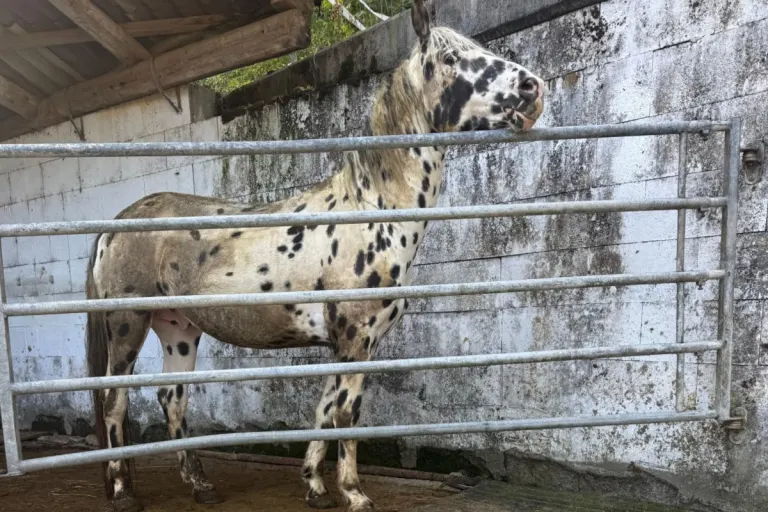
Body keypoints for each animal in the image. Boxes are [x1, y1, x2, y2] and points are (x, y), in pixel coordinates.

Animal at [85, 2, 545, 511]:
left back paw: (200, 484)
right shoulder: (355, 340)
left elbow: (324, 412)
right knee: (115, 403)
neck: (371, 210)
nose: (532, 89)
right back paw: (123, 491)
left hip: (178, 328)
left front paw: (316, 486)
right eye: (449, 59)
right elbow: (346, 416)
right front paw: (355, 493)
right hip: (128, 324)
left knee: (172, 397)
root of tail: (116, 223)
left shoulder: (347, 344)